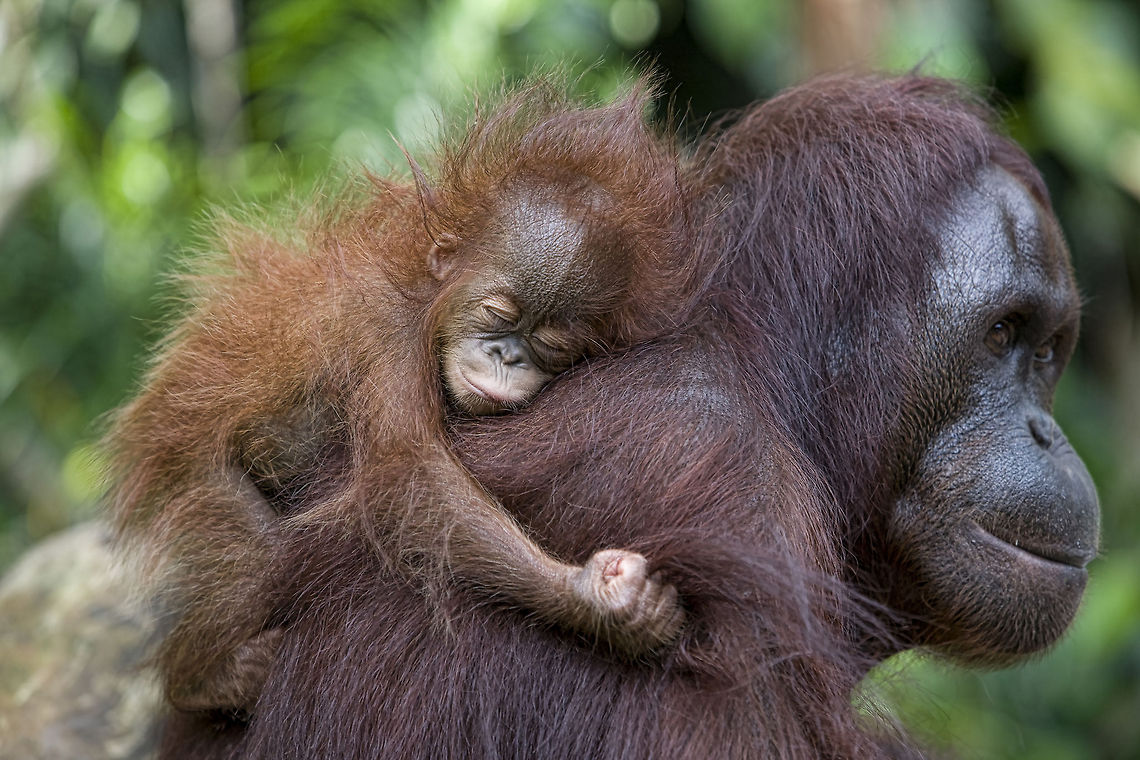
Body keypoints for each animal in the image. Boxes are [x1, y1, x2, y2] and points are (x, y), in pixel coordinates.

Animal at [106, 82, 702, 717]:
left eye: (552, 345)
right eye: (499, 314)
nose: (506, 356)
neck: (424, 292)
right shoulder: (385, 330)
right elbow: (406, 470)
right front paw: (594, 599)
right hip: (199, 472)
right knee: (253, 552)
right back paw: (201, 681)